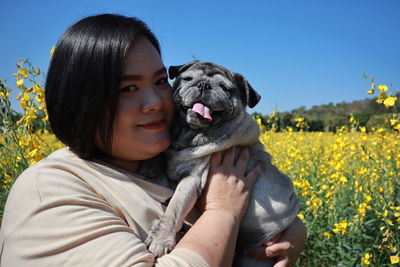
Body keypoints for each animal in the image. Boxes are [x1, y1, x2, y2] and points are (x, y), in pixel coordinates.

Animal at [145, 61, 298, 266]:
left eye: (225, 88)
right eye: (187, 79)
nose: (203, 85)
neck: (190, 133)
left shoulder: (192, 179)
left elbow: (174, 208)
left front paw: (161, 237)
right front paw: (150, 164)